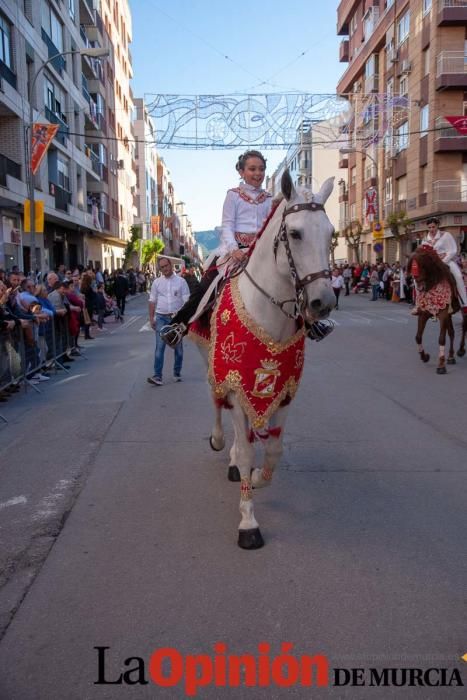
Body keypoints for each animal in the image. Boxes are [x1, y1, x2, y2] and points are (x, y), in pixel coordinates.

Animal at [196, 170, 334, 548]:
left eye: (331, 234)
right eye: (296, 233)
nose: (323, 302)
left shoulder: (284, 390)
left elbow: (273, 450)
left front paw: (258, 477)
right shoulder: (234, 380)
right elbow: (246, 450)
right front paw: (248, 523)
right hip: (209, 359)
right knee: (214, 399)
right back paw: (218, 440)